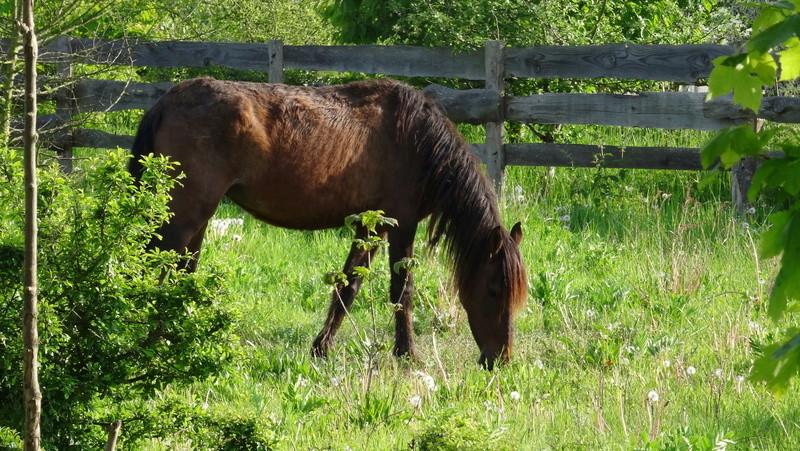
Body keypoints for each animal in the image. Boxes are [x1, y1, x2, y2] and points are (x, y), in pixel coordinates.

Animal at [130, 77, 528, 368]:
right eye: (494, 291)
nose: (500, 360)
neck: (417, 139)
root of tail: (167, 102)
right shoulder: (401, 224)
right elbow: (402, 291)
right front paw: (407, 355)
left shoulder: (371, 227)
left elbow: (348, 287)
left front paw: (321, 349)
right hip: (183, 217)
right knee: (155, 268)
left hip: (196, 221)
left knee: (183, 271)